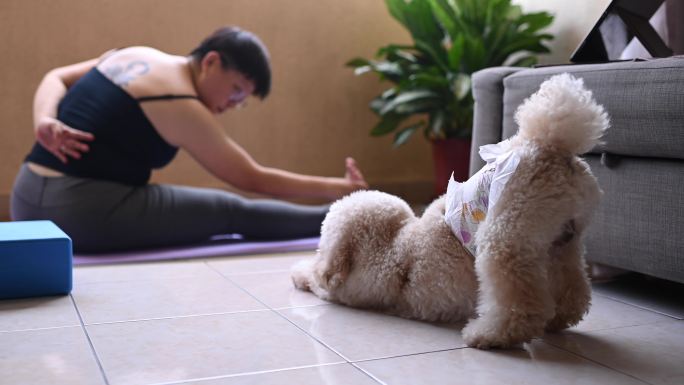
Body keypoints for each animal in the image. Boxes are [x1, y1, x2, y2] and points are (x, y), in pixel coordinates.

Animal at [292, 74, 608, 348]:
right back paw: (558, 318)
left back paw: (489, 335)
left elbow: (318, 279)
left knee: (520, 305)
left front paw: (301, 273)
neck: (394, 243)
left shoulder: (344, 291)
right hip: (563, 240)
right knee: (574, 288)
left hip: (505, 237)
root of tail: (550, 146)